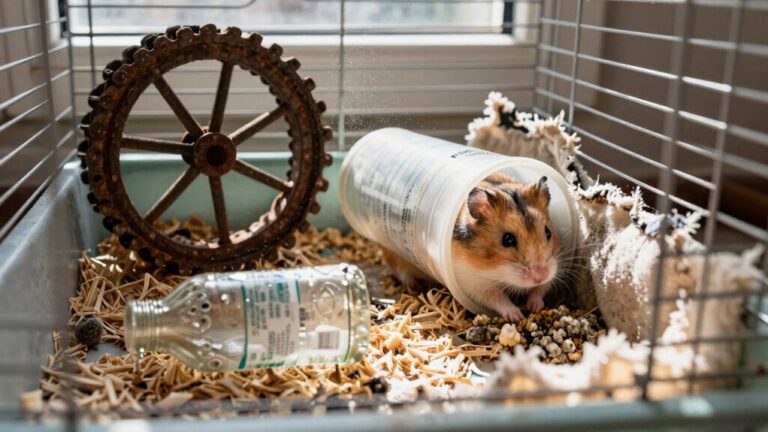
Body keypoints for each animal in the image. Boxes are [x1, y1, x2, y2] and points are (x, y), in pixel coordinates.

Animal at [382, 172, 560, 322]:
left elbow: (539, 290)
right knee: (401, 271)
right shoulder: (475, 286)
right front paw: (517, 316)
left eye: (548, 232)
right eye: (507, 240)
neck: (496, 271)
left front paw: (536, 307)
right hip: (395, 254)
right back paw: (414, 285)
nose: (540, 276)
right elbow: (498, 298)